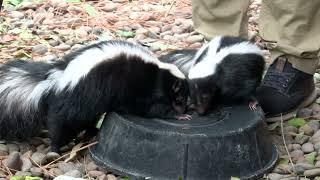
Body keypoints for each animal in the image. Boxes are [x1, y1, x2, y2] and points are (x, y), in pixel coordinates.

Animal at [0, 39, 189, 152]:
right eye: (179, 98)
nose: (183, 109)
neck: (159, 72)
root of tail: (56, 77)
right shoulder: (143, 89)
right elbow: (151, 108)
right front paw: (178, 116)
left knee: (85, 120)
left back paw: (90, 132)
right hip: (77, 100)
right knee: (60, 123)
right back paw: (55, 148)